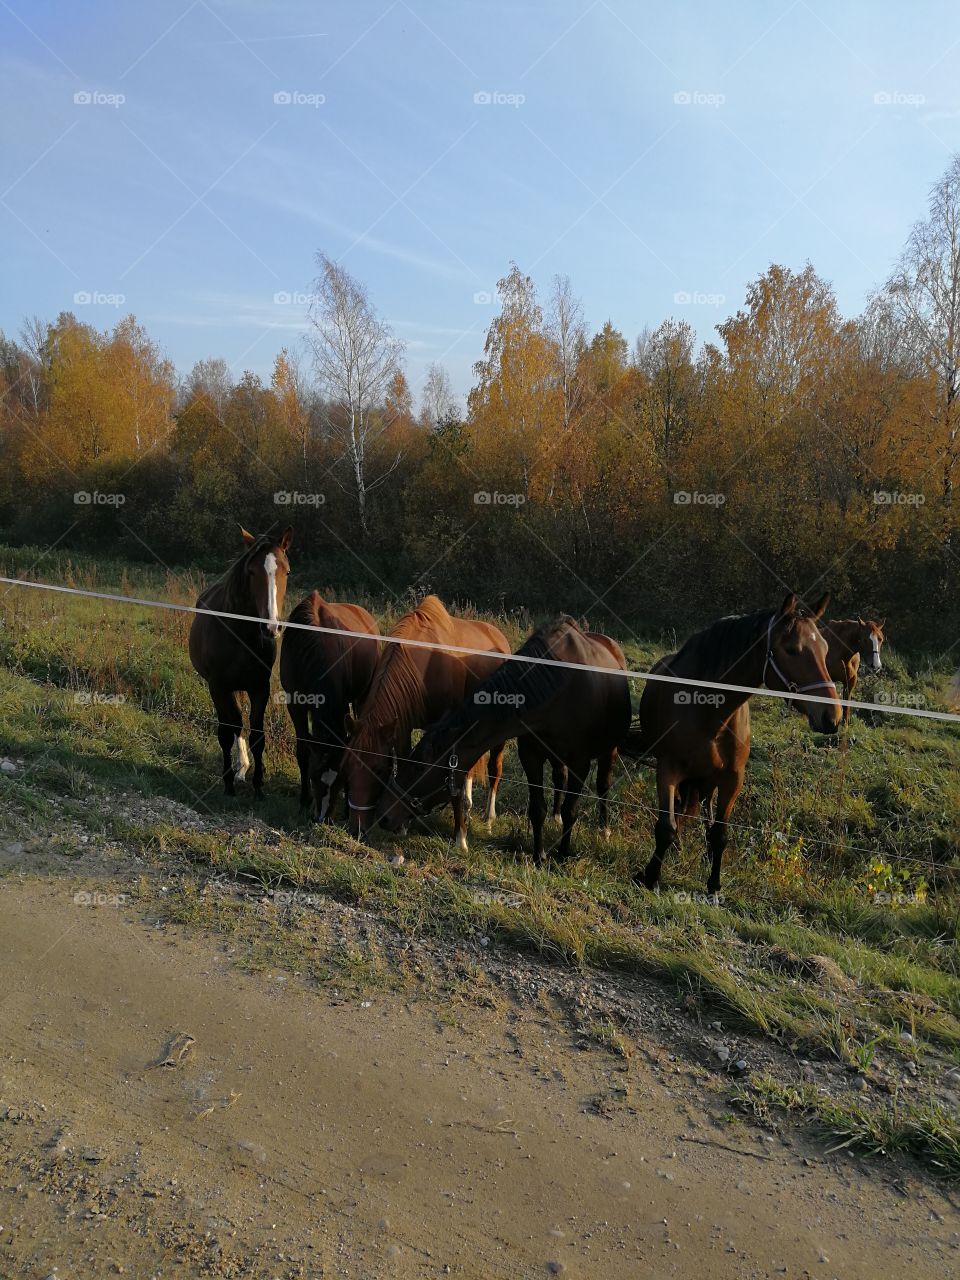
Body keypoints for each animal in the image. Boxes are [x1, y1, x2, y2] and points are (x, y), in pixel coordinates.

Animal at [188, 526, 293, 797]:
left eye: (286, 571)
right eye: (252, 571)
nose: (271, 627)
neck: (242, 634)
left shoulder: (259, 687)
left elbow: (257, 734)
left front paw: (259, 785)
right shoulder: (219, 687)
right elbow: (227, 731)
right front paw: (228, 784)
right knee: (233, 724)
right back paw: (239, 768)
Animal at [279, 592, 380, 821]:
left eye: (342, 780)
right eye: (314, 776)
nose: (324, 817)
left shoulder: (341, 703)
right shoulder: (294, 704)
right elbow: (302, 751)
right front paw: (304, 801)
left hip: (362, 697)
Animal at [340, 595, 511, 842]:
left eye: (379, 770)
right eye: (346, 766)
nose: (358, 829)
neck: (424, 660)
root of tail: (499, 637)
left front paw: (460, 836)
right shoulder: (402, 725)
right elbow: (405, 762)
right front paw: (402, 824)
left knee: (494, 770)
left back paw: (488, 820)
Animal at [376, 617, 631, 862]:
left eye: (419, 768)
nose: (383, 816)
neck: (558, 688)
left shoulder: (580, 762)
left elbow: (572, 810)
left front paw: (562, 855)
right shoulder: (531, 756)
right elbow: (537, 808)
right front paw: (539, 856)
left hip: (609, 751)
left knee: (603, 786)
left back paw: (603, 831)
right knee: (560, 778)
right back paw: (556, 818)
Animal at [620, 592, 841, 895]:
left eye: (825, 648)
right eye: (792, 649)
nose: (832, 716)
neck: (709, 710)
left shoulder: (732, 778)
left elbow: (720, 833)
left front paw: (714, 884)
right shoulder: (668, 769)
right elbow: (666, 827)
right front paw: (650, 875)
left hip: (707, 780)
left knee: (704, 811)